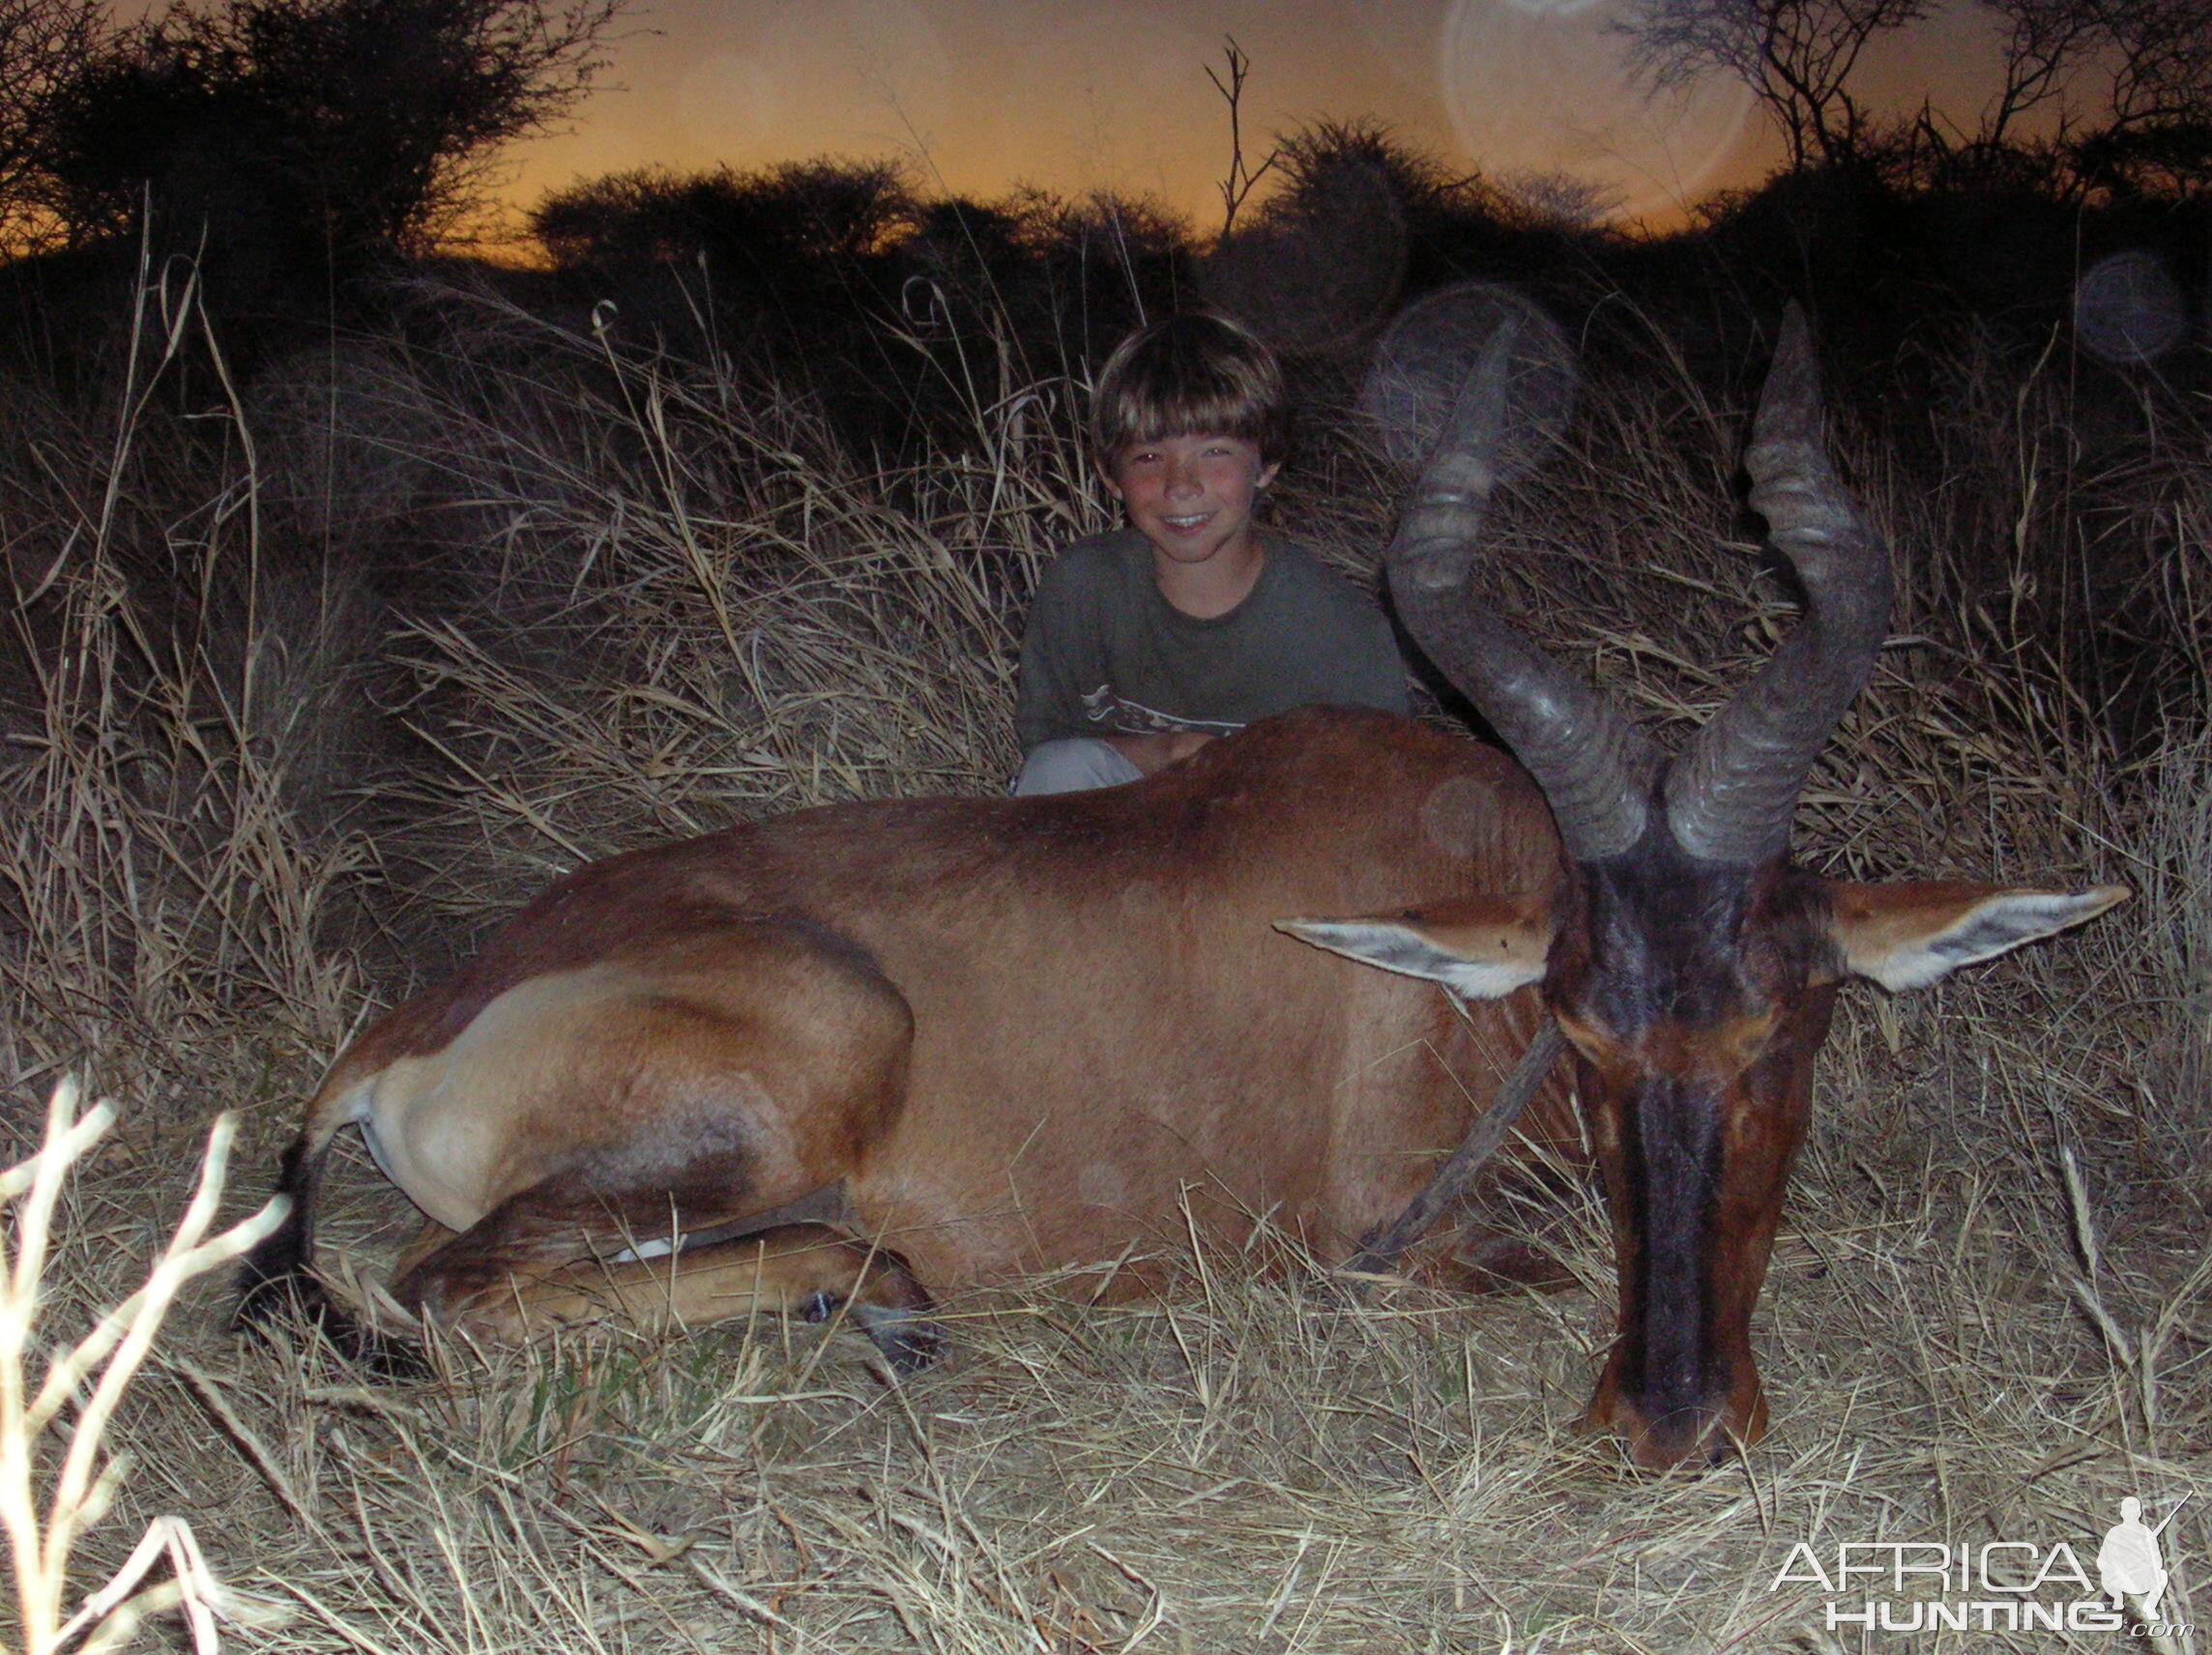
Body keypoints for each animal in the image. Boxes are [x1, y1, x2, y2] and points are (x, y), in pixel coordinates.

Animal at [242, 309, 2123, 1477]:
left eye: (1791, 1029)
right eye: (1582, 1032)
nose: (1669, 1424)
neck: (1446, 878)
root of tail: (407, 1023)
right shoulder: (1388, 1236)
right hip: (808, 1055)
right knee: (453, 1294)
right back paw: (885, 1303)